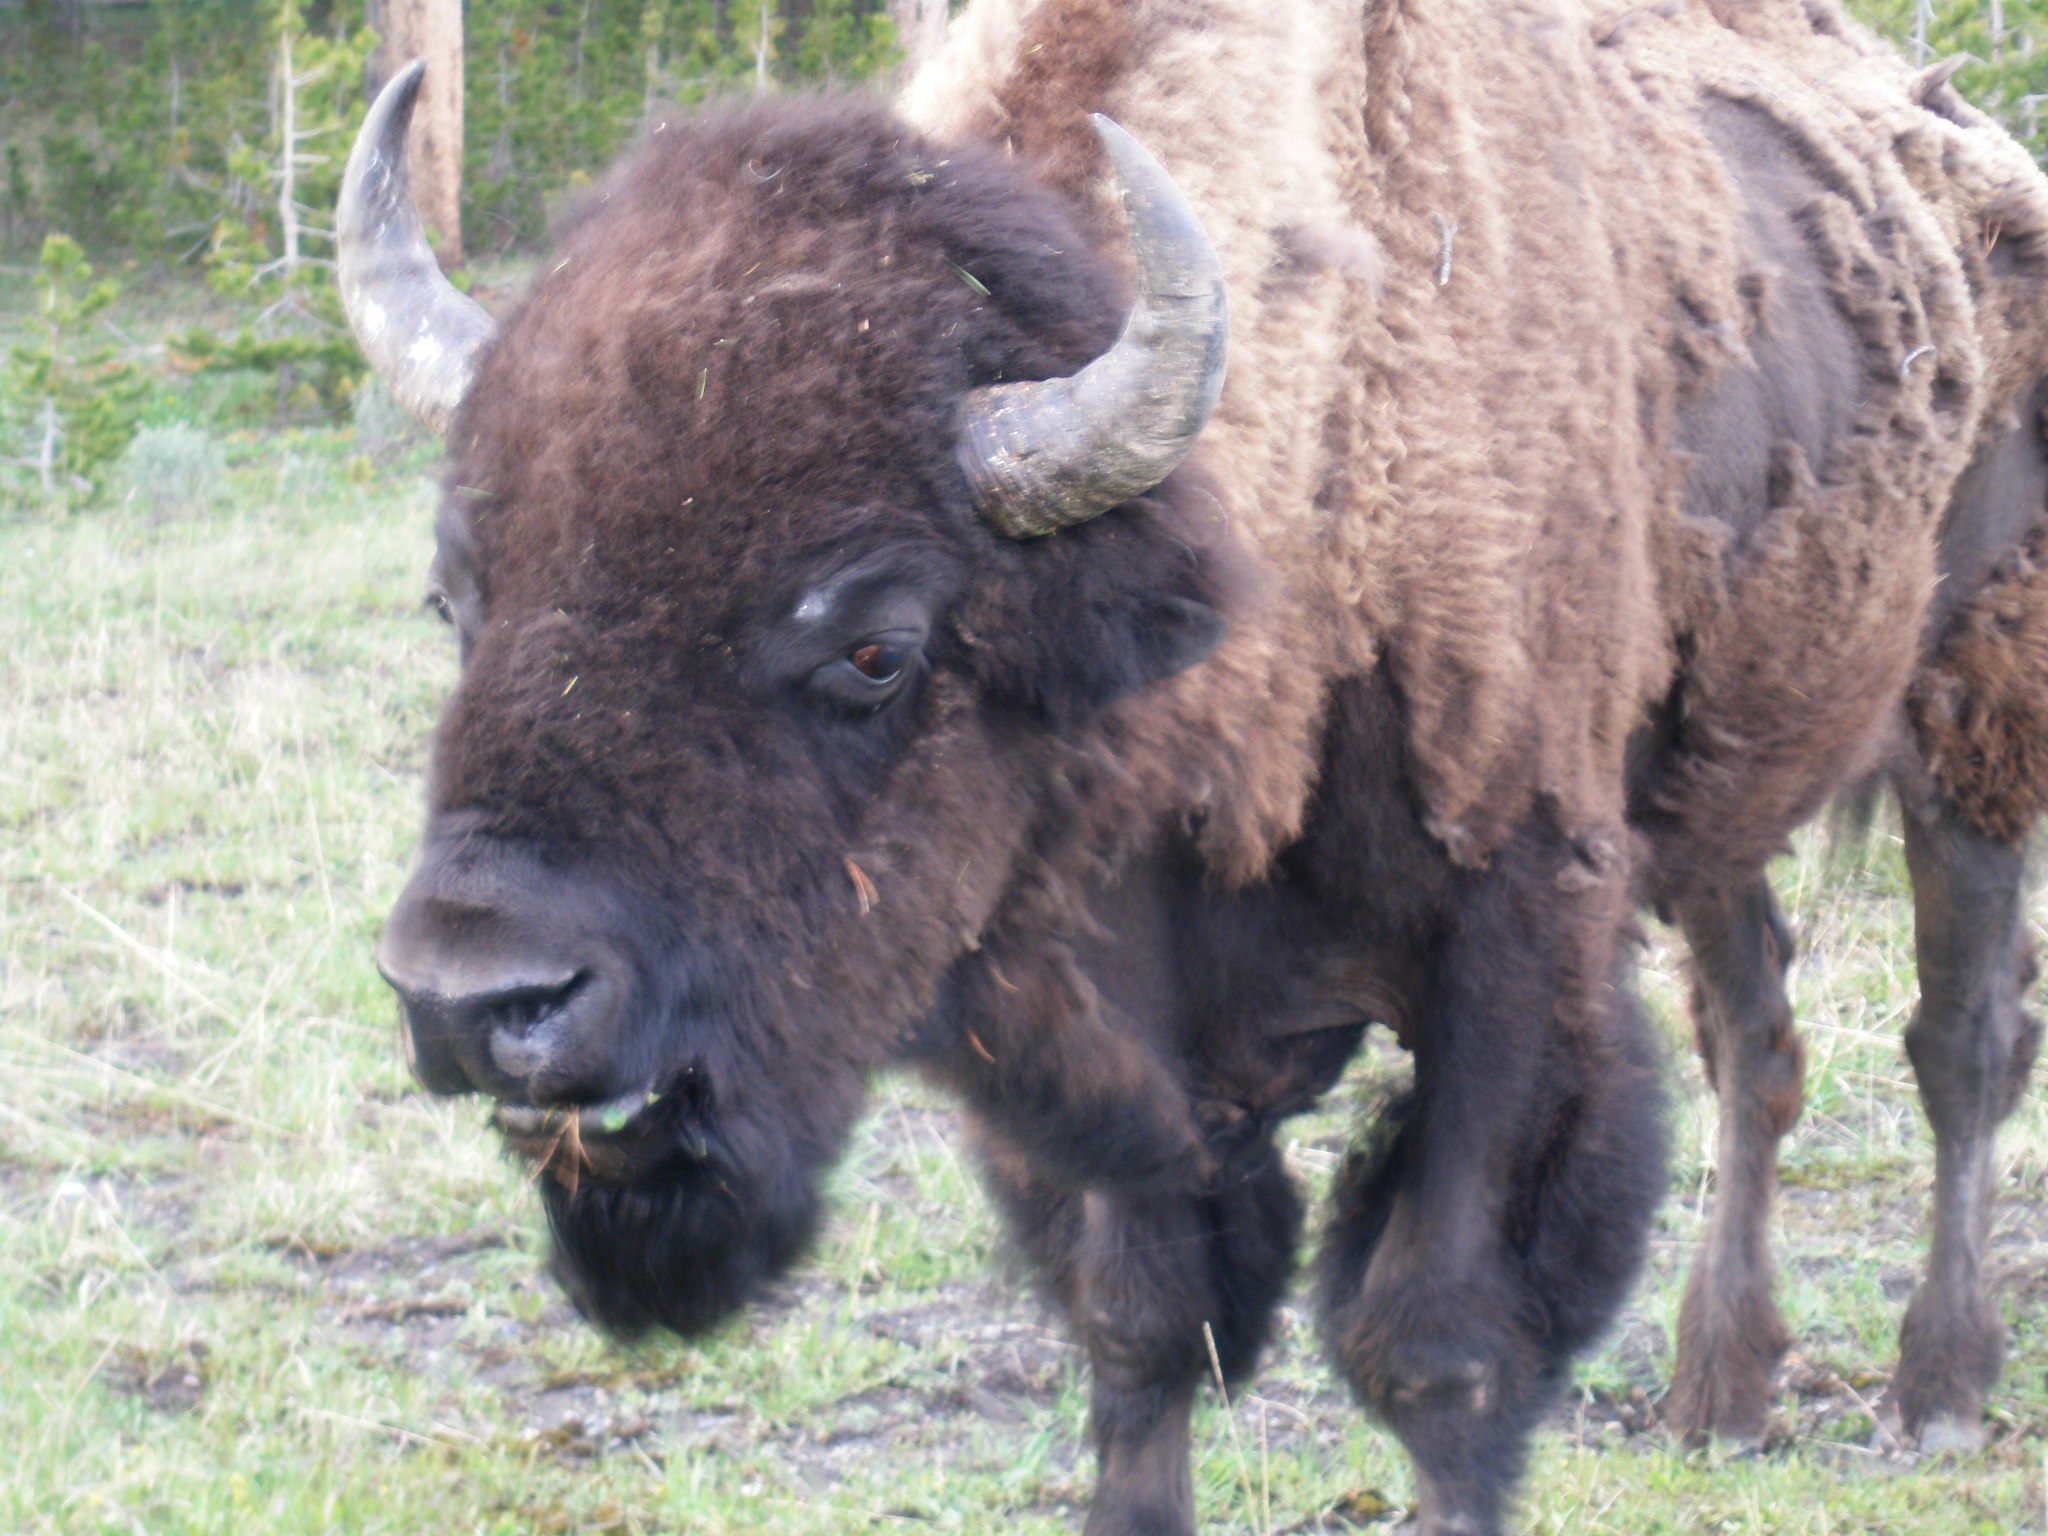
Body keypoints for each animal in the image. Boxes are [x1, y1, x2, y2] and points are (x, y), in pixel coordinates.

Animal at [346, 0, 2048, 1531]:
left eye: (874, 646)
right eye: (457, 597)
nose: (473, 999)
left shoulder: (1513, 953)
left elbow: (1437, 1343)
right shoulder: (1087, 1020)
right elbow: (1141, 1327)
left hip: (1967, 730)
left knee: (1959, 1042)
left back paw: (1938, 1393)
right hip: (1721, 793)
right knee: (1756, 1034)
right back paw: (1722, 1392)